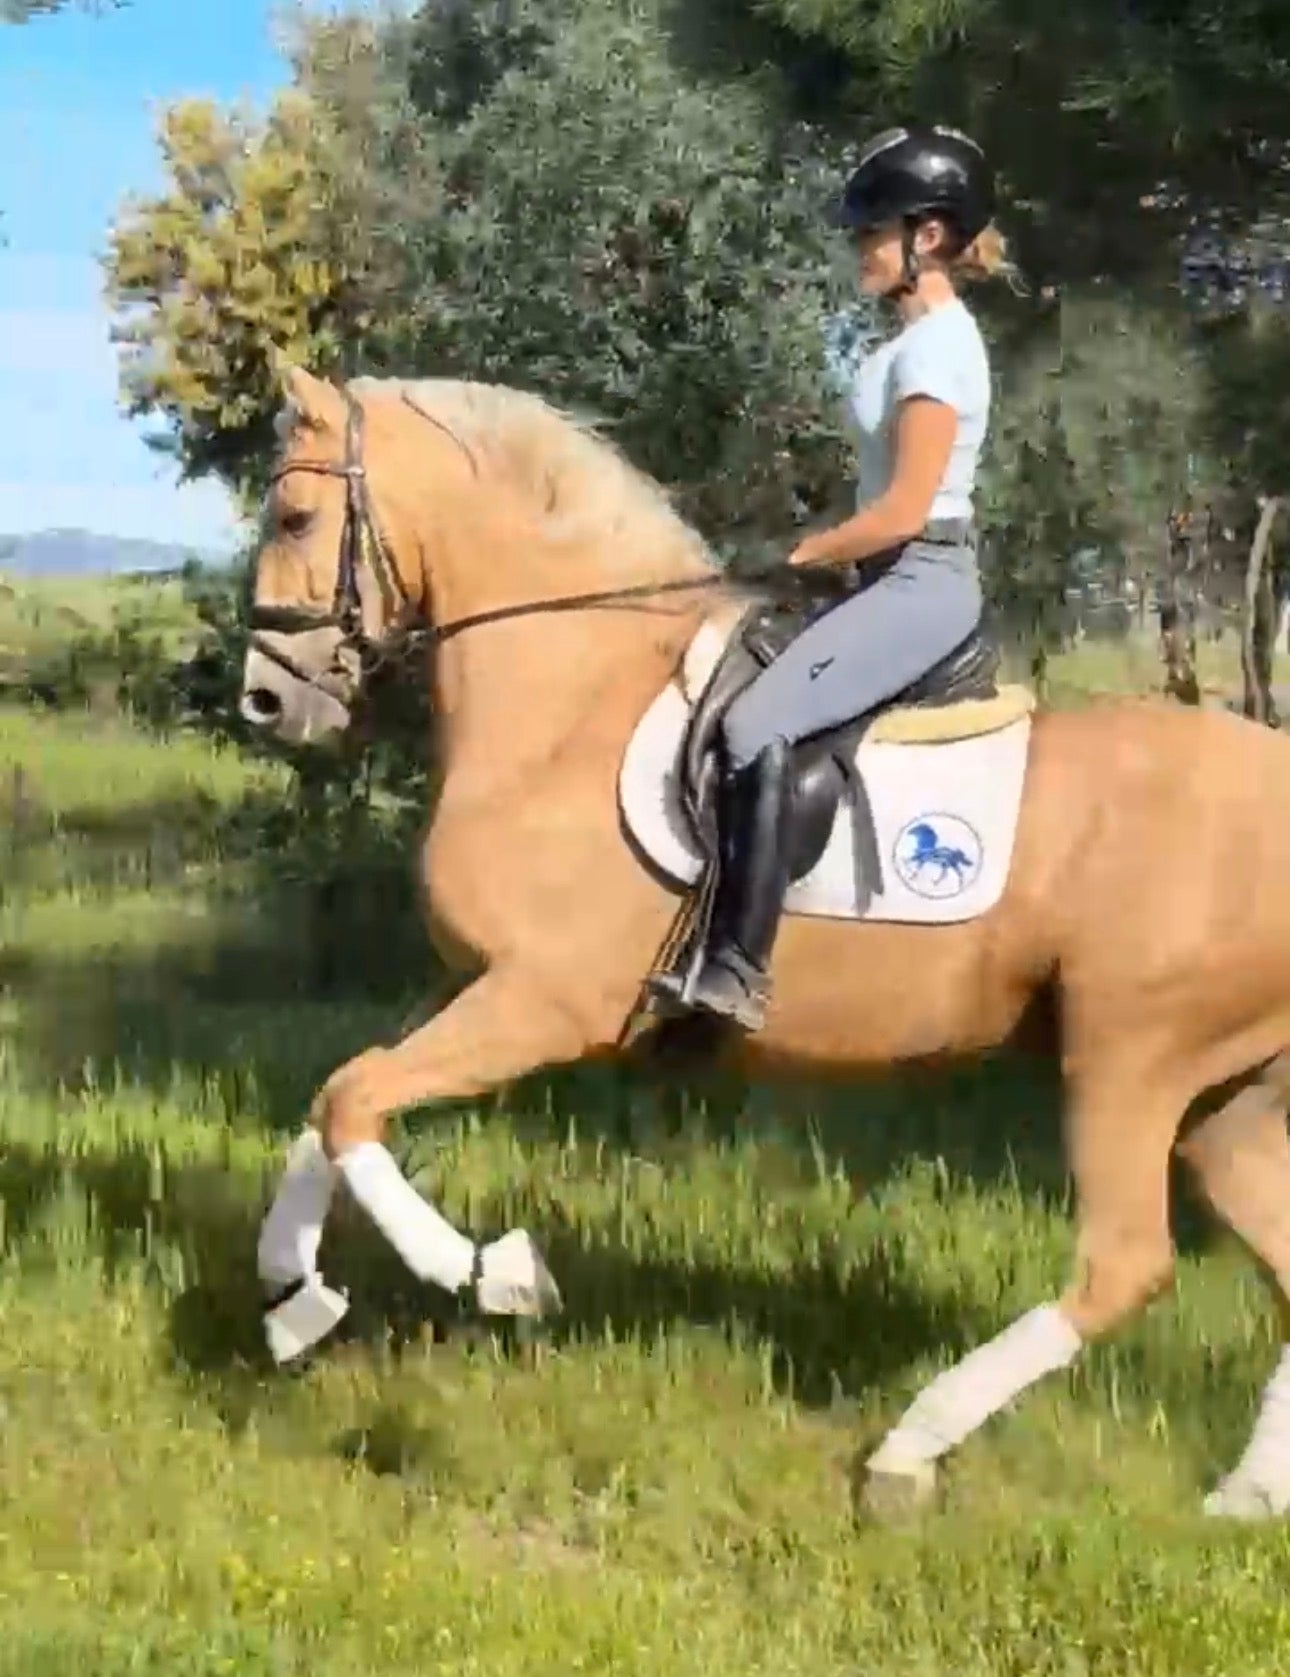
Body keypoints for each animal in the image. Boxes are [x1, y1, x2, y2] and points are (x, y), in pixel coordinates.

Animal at [239, 364, 1290, 1522]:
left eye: (295, 516)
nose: (266, 699)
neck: (573, 700)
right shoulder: (476, 984)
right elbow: (338, 1100)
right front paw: (293, 1295)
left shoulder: (543, 1004)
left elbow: (352, 1102)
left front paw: (493, 1273)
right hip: (1224, 1097)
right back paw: (1247, 1494)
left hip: (1130, 1060)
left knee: (1124, 1265)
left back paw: (908, 1451)